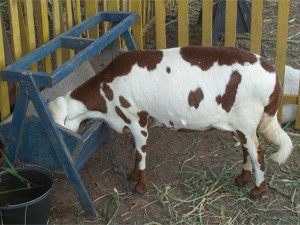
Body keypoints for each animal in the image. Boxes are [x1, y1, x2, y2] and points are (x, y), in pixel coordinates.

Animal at [48, 46, 292, 198]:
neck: (105, 93)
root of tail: (274, 75)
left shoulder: (138, 121)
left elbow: (141, 153)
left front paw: (140, 186)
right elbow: (135, 152)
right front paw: (133, 175)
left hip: (246, 120)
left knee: (258, 154)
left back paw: (258, 191)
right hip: (243, 124)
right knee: (246, 151)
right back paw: (242, 178)